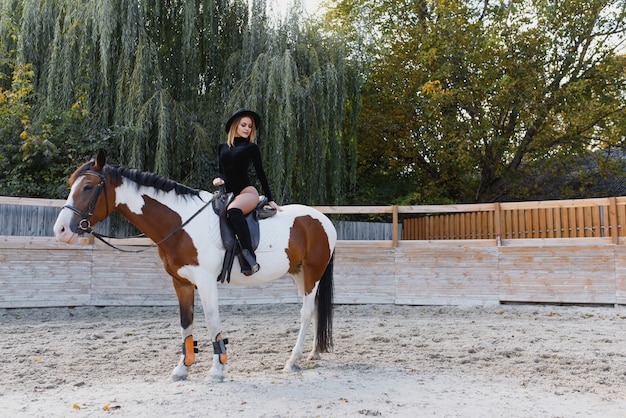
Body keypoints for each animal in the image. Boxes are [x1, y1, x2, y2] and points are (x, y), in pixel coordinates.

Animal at [52, 150, 336, 382]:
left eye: (88, 187)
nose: (61, 230)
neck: (180, 223)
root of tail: (323, 220)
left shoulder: (206, 282)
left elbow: (211, 321)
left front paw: (217, 370)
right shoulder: (181, 282)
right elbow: (185, 323)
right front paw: (182, 368)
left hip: (312, 274)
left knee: (305, 313)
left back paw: (292, 360)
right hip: (298, 274)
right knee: (314, 310)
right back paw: (313, 353)